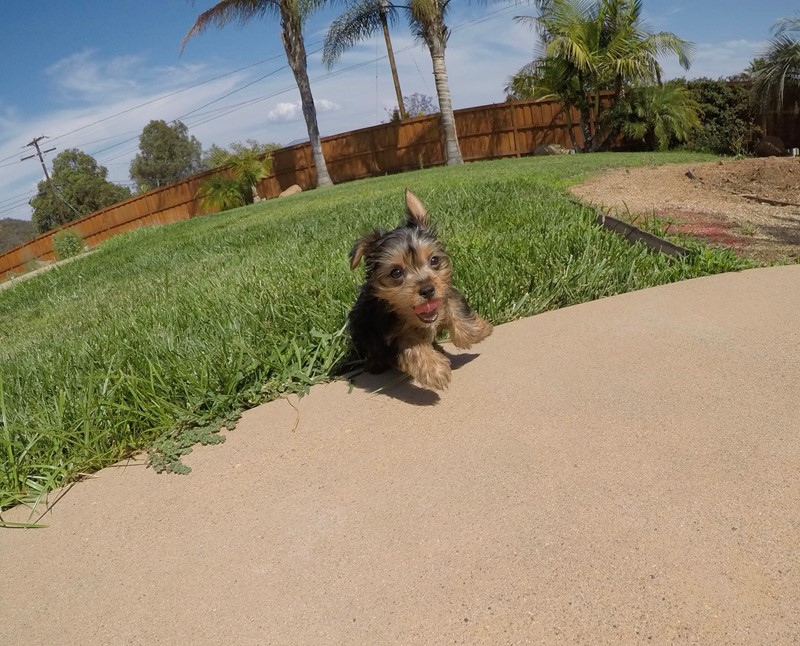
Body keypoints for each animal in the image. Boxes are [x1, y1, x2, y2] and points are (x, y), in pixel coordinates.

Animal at [350, 187, 494, 390]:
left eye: (434, 260)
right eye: (396, 272)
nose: (427, 290)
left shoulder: (446, 292)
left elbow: (455, 309)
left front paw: (478, 331)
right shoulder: (389, 333)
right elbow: (411, 345)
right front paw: (435, 371)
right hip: (360, 327)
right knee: (373, 350)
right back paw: (375, 364)